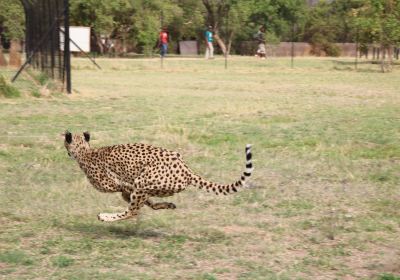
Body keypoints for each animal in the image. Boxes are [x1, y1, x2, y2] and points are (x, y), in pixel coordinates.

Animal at [65, 131, 253, 221]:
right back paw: (168, 205)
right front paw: (160, 205)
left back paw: (105, 217)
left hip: (144, 181)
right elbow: (144, 201)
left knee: (132, 212)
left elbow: (133, 200)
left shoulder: (126, 185)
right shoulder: (130, 188)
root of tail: (186, 168)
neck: (85, 152)